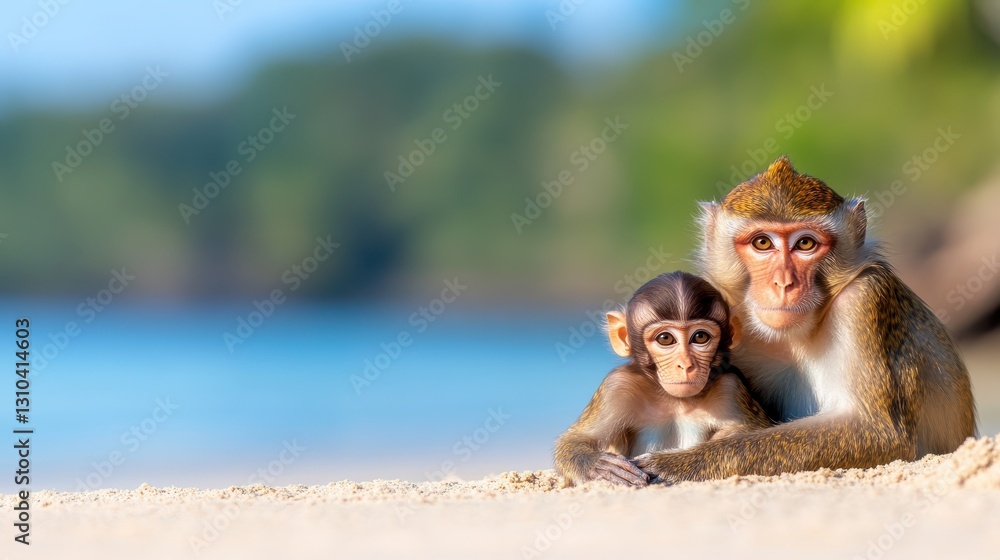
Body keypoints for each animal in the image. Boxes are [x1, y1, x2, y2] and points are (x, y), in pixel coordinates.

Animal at [554, 271, 771, 486]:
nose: (686, 365)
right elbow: (577, 438)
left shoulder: (730, 387)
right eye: (665, 339)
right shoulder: (617, 386)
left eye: (700, 337)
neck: (675, 401)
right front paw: (600, 466)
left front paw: (668, 465)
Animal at [632, 155, 978, 484]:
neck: (793, 337)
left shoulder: (865, 297)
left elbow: (880, 432)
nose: (784, 284)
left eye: (805, 243)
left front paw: (674, 464)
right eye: (762, 243)